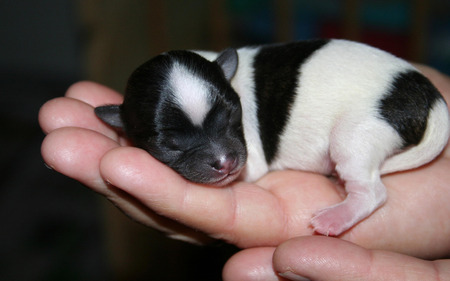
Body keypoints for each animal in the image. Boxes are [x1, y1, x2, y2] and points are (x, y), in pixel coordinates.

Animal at [96, 39, 450, 235]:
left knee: (373, 192)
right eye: (169, 145)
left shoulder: (249, 156)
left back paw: (336, 217)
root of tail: (431, 97)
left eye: (231, 116)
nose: (225, 163)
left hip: (355, 134)